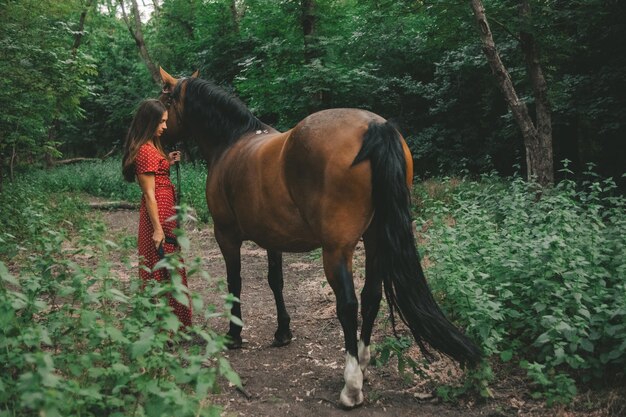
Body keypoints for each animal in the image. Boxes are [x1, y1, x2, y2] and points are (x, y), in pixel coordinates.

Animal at [157, 67, 478, 406]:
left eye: (165, 100)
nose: (159, 137)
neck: (232, 142)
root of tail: (375, 127)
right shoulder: (272, 238)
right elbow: (276, 281)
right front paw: (283, 332)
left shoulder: (226, 235)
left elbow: (235, 283)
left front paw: (234, 335)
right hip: (375, 239)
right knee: (371, 296)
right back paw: (363, 363)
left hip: (336, 250)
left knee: (348, 303)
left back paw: (351, 385)